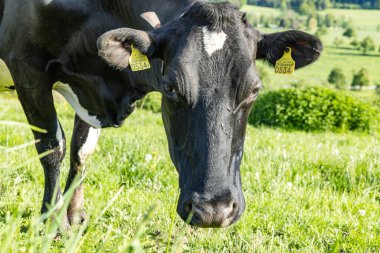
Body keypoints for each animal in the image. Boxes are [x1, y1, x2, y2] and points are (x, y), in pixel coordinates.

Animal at [0, 0, 320, 228]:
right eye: (170, 87)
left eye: (255, 89)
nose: (213, 210)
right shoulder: (26, 65)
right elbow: (53, 147)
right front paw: (53, 225)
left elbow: (82, 151)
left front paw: (75, 218)